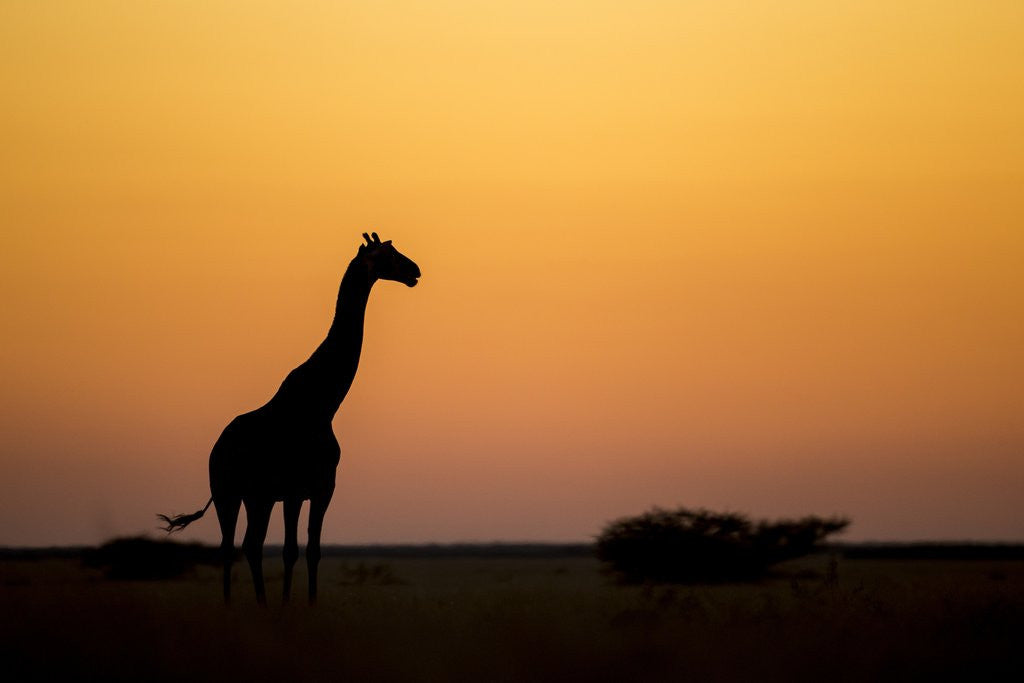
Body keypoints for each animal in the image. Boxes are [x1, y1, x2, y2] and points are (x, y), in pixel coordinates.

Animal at [158, 232, 420, 605]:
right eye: (388, 254)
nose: (415, 271)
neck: (323, 404)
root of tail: (216, 447)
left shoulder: (316, 488)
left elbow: (308, 550)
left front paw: (301, 604)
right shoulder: (301, 489)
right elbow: (293, 550)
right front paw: (290, 607)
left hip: (257, 497)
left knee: (250, 545)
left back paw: (260, 603)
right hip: (226, 493)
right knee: (230, 547)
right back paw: (232, 605)